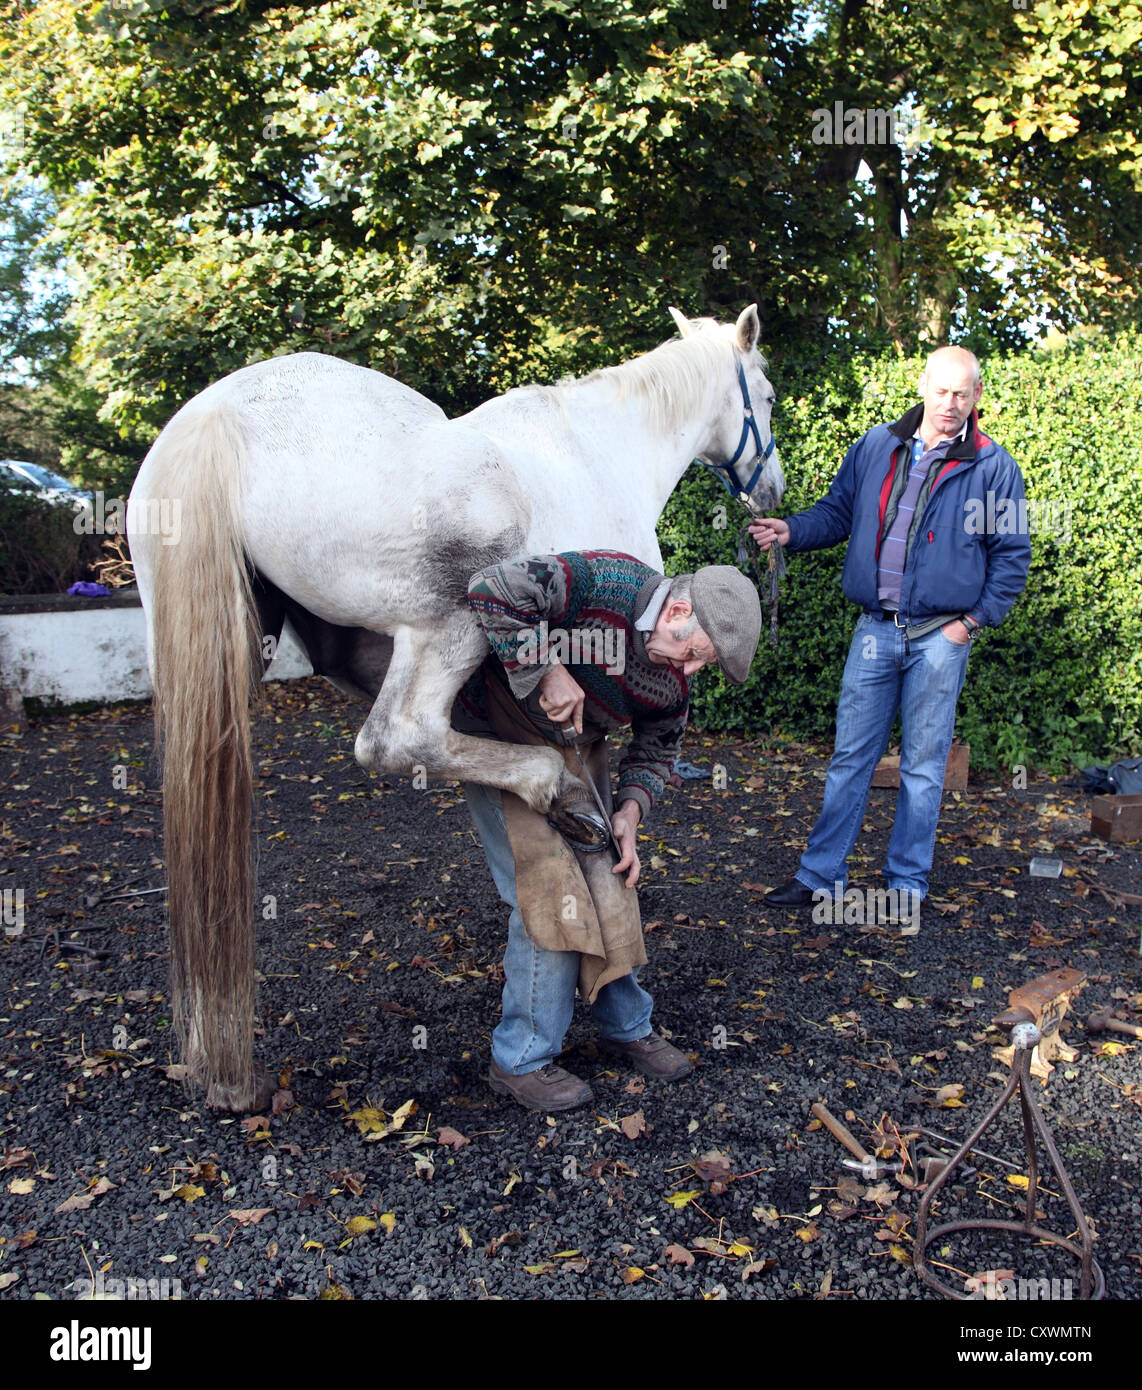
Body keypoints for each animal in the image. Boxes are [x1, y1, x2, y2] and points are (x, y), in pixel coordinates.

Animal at [127, 304, 789, 1106]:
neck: (600, 447)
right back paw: (557, 793)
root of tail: (217, 415)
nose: (772, 492)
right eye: (768, 395)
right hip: (445, 625)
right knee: (398, 738)